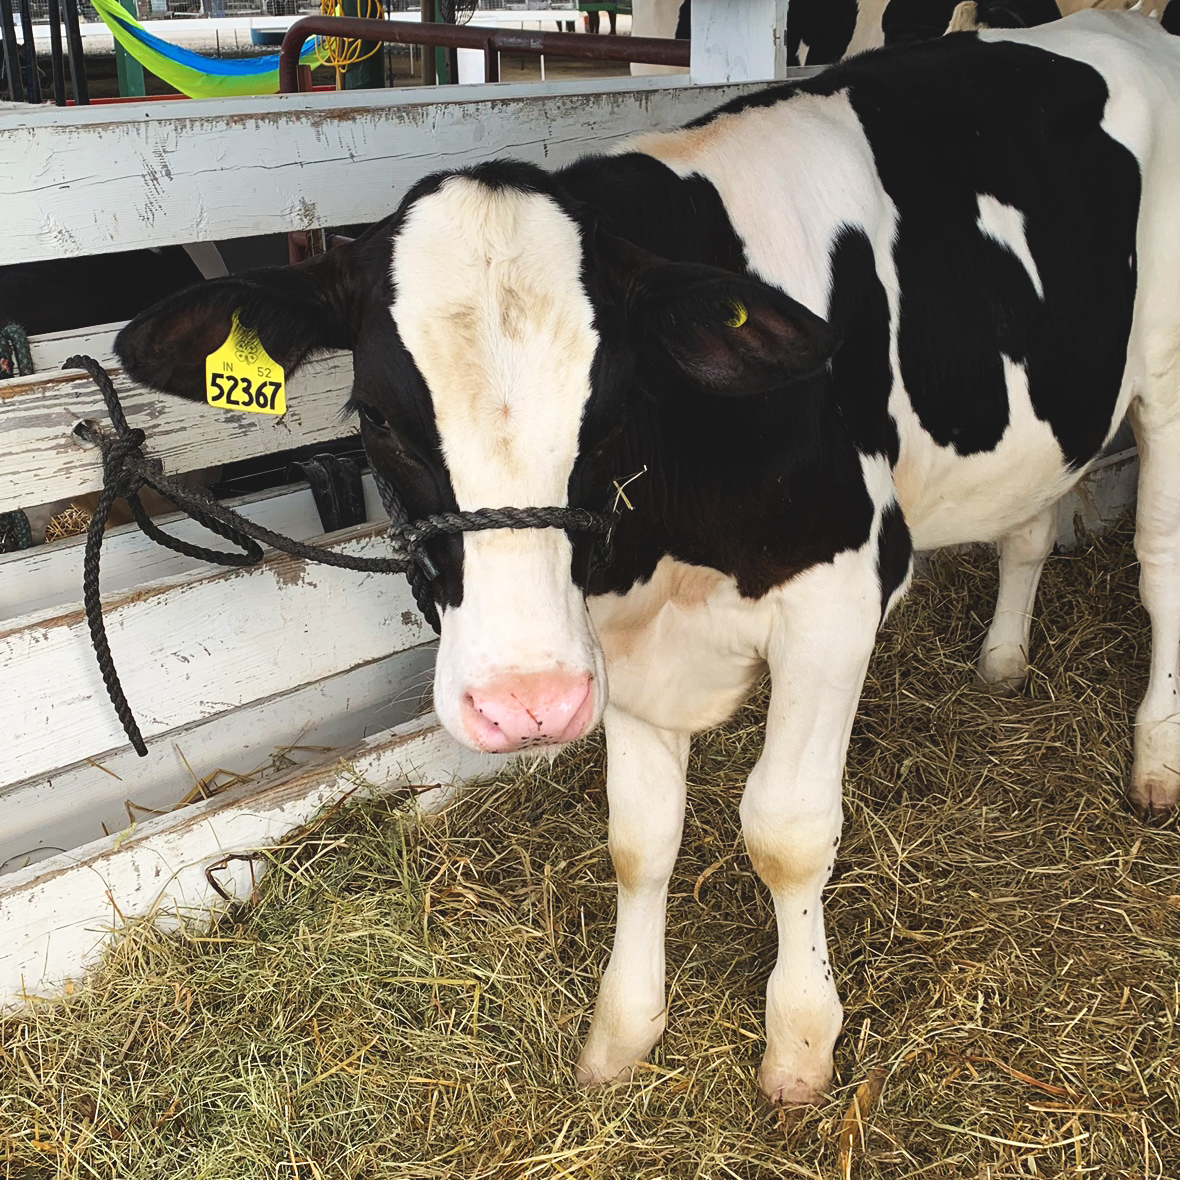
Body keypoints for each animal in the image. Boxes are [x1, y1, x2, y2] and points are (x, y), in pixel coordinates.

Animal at [115, 13, 1180, 1104]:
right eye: (376, 420)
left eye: (617, 410)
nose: (523, 704)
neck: (667, 548)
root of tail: (1119, 24)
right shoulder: (616, 645)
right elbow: (638, 837)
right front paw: (622, 1033)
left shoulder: (840, 595)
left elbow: (786, 830)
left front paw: (799, 1042)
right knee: (1030, 523)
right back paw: (1003, 659)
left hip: (1167, 375)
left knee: (1158, 558)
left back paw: (1155, 759)